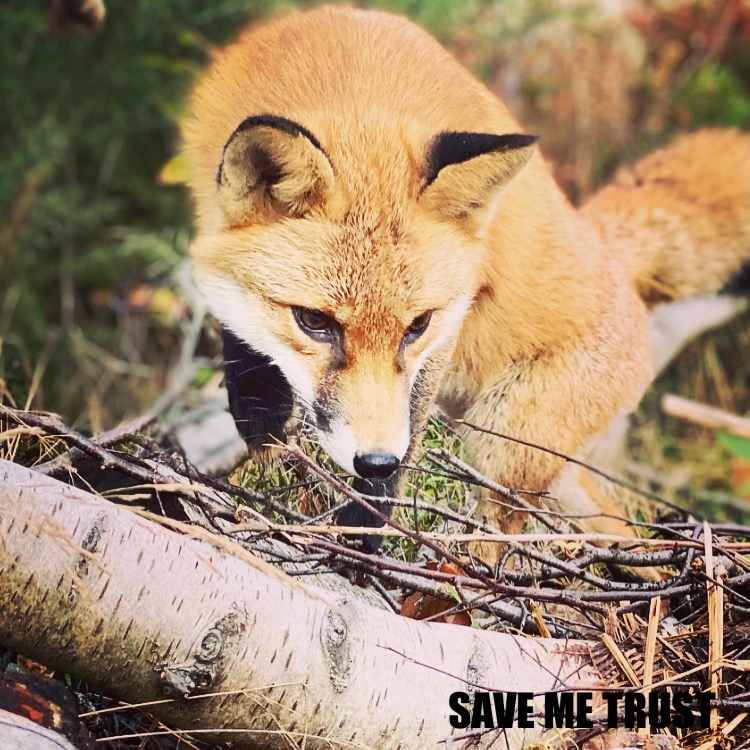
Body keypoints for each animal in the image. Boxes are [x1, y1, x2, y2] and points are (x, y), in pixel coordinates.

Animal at [182, 5, 750, 564]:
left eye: (417, 325)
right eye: (314, 321)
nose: (376, 461)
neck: (354, 74)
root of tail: (605, 246)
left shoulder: (446, 328)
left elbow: (402, 440)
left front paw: (360, 538)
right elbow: (243, 353)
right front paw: (261, 434)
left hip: (506, 446)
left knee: (503, 534)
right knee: (616, 525)